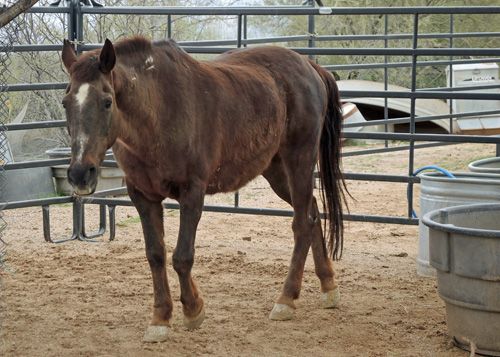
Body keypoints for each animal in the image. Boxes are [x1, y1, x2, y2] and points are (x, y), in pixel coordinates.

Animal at [60, 36, 346, 342]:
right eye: (65, 103)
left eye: (107, 101)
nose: (80, 174)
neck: (159, 112)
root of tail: (309, 66)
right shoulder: (143, 197)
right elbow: (156, 255)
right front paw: (160, 318)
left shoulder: (192, 193)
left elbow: (182, 257)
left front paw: (193, 309)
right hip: (277, 170)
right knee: (313, 212)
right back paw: (328, 285)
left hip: (299, 160)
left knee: (302, 223)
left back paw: (286, 299)